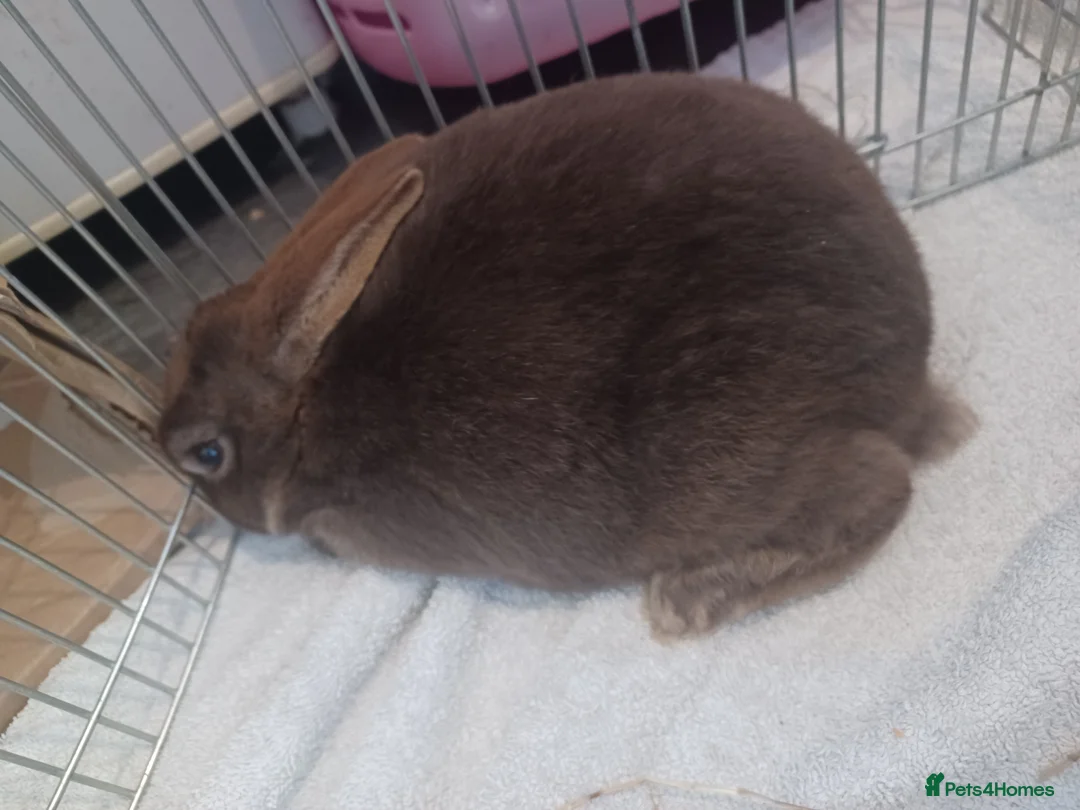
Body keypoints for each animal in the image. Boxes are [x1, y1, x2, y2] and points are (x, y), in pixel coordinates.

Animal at [158, 72, 973, 641]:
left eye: (204, 455)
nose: (220, 514)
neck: (308, 407)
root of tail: (908, 381)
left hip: (737, 461)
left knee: (880, 490)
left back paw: (688, 599)